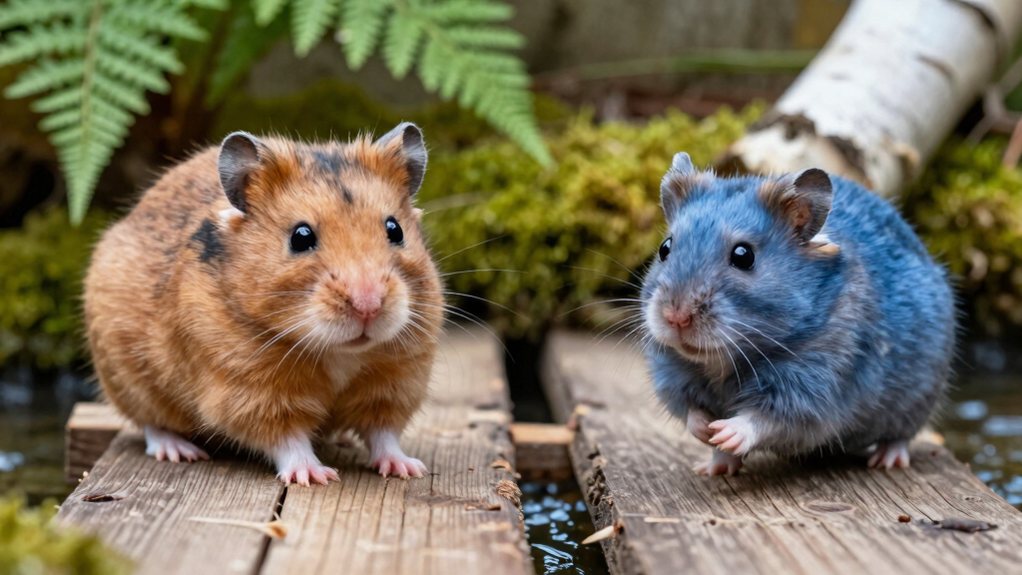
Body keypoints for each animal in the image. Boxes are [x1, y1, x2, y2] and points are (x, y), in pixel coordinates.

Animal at [83, 123, 444, 485]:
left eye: (395, 230)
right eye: (300, 237)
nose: (368, 305)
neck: (339, 352)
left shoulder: (397, 382)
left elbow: (384, 434)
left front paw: (408, 469)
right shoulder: (252, 392)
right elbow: (288, 439)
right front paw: (315, 476)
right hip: (130, 380)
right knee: (151, 423)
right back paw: (179, 451)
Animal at [642, 153, 955, 476]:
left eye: (744, 255)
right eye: (665, 248)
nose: (676, 317)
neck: (724, 359)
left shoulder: (810, 389)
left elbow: (763, 419)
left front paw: (725, 431)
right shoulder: (671, 373)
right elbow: (690, 410)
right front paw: (707, 429)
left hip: (916, 402)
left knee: (899, 437)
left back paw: (887, 460)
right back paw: (714, 466)